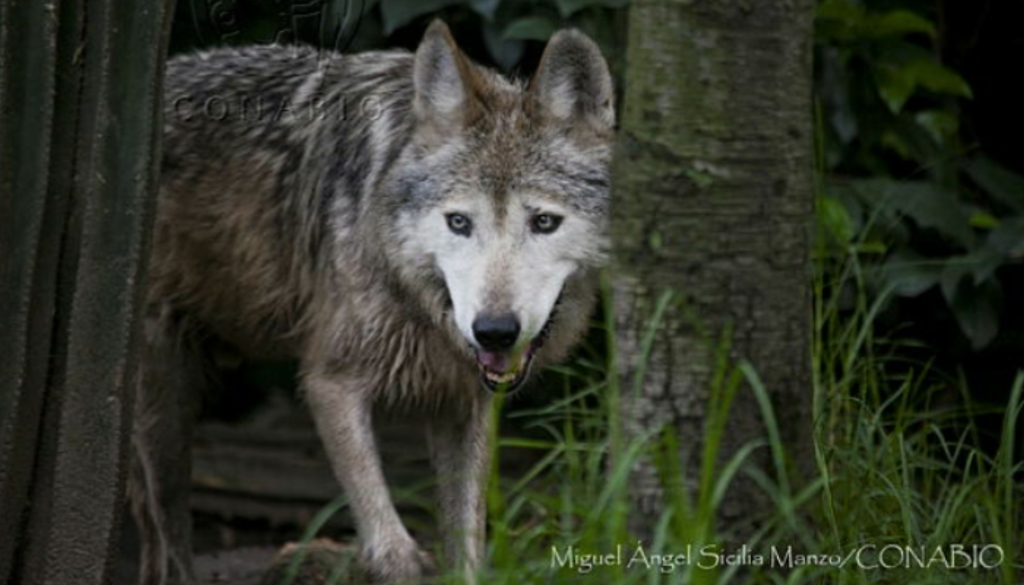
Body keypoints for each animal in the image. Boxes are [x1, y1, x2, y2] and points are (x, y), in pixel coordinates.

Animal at [133, 20, 614, 584]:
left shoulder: (462, 402)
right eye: (458, 222)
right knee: (166, 529)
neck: (415, 297)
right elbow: (391, 546)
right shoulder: (331, 382)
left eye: (544, 222)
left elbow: (467, 544)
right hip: (166, 407)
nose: (494, 331)